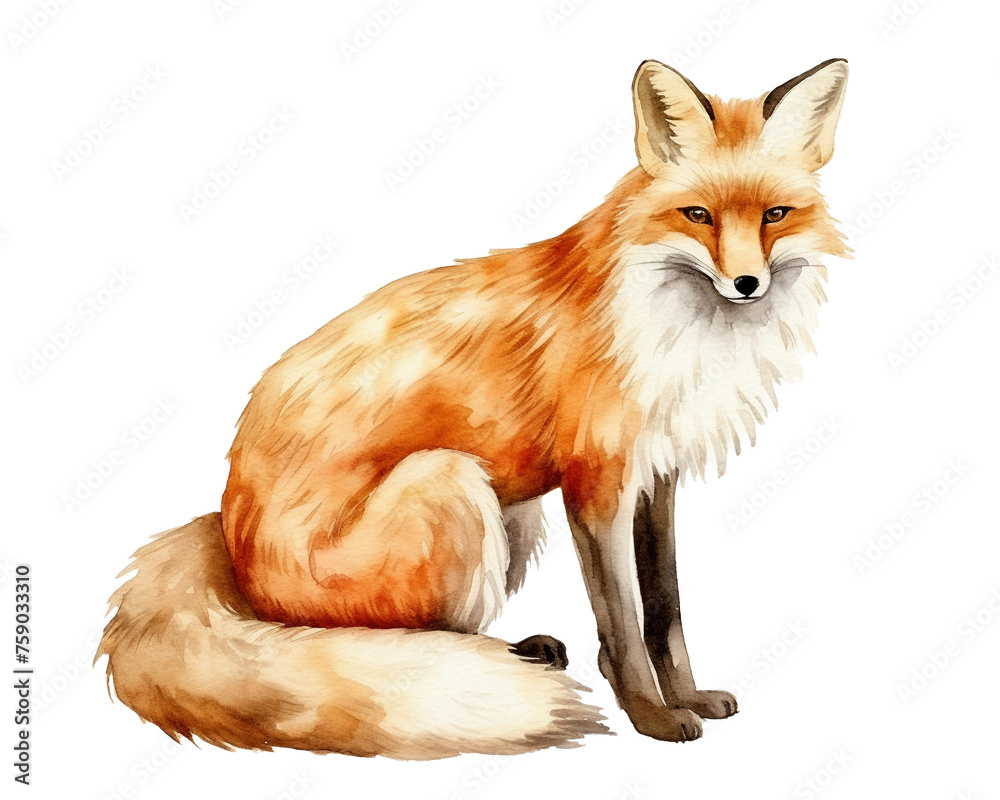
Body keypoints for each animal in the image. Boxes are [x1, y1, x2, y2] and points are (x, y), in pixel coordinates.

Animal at [98, 58, 850, 759]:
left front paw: (685, 694)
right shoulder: (596, 481)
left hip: (510, 510)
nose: (746, 283)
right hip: (454, 481)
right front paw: (650, 714)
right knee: (406, 640)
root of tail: (228, 531)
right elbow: (624, 622)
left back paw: (525, 651)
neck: (674, 324)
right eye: (698, 216)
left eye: (775, 215)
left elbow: (664, 610)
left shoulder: (655, 475)